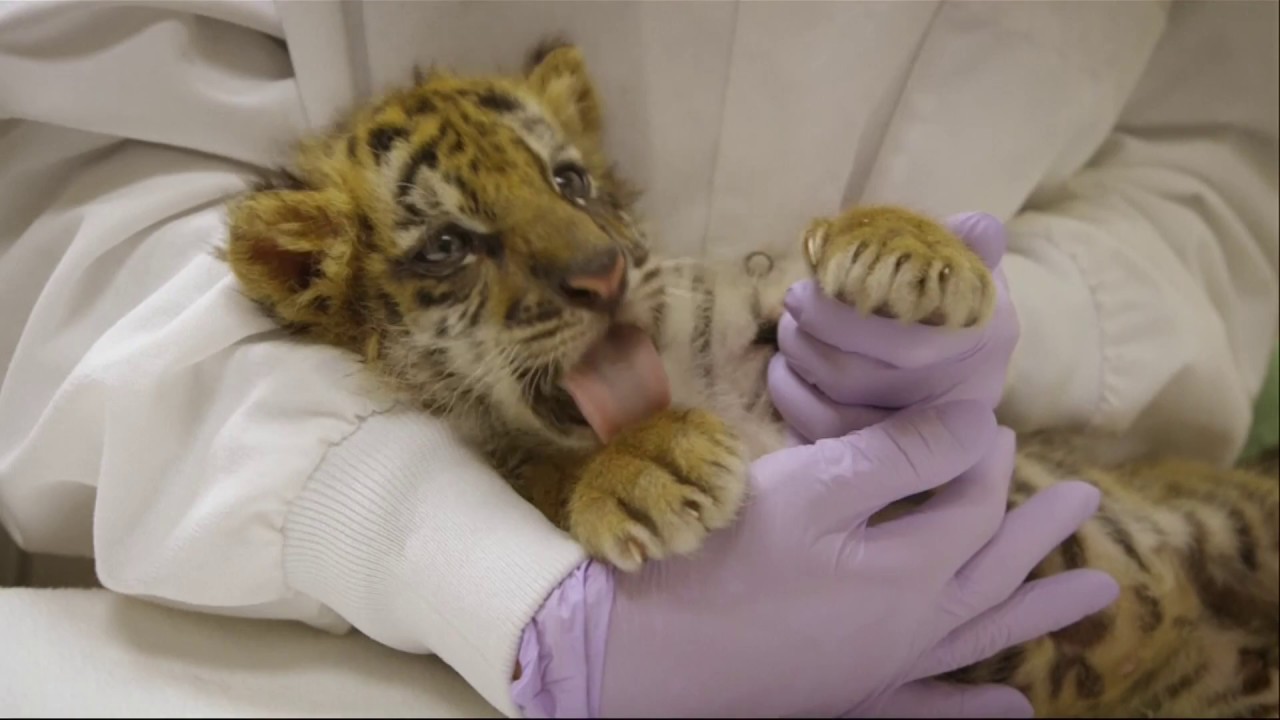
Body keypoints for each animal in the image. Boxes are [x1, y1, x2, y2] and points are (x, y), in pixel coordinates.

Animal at [221, 41, 1279, 718]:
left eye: (568, 180)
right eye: (449, 244)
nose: (603, 275)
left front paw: (906, 251)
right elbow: (555, 475)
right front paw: (648, 470)